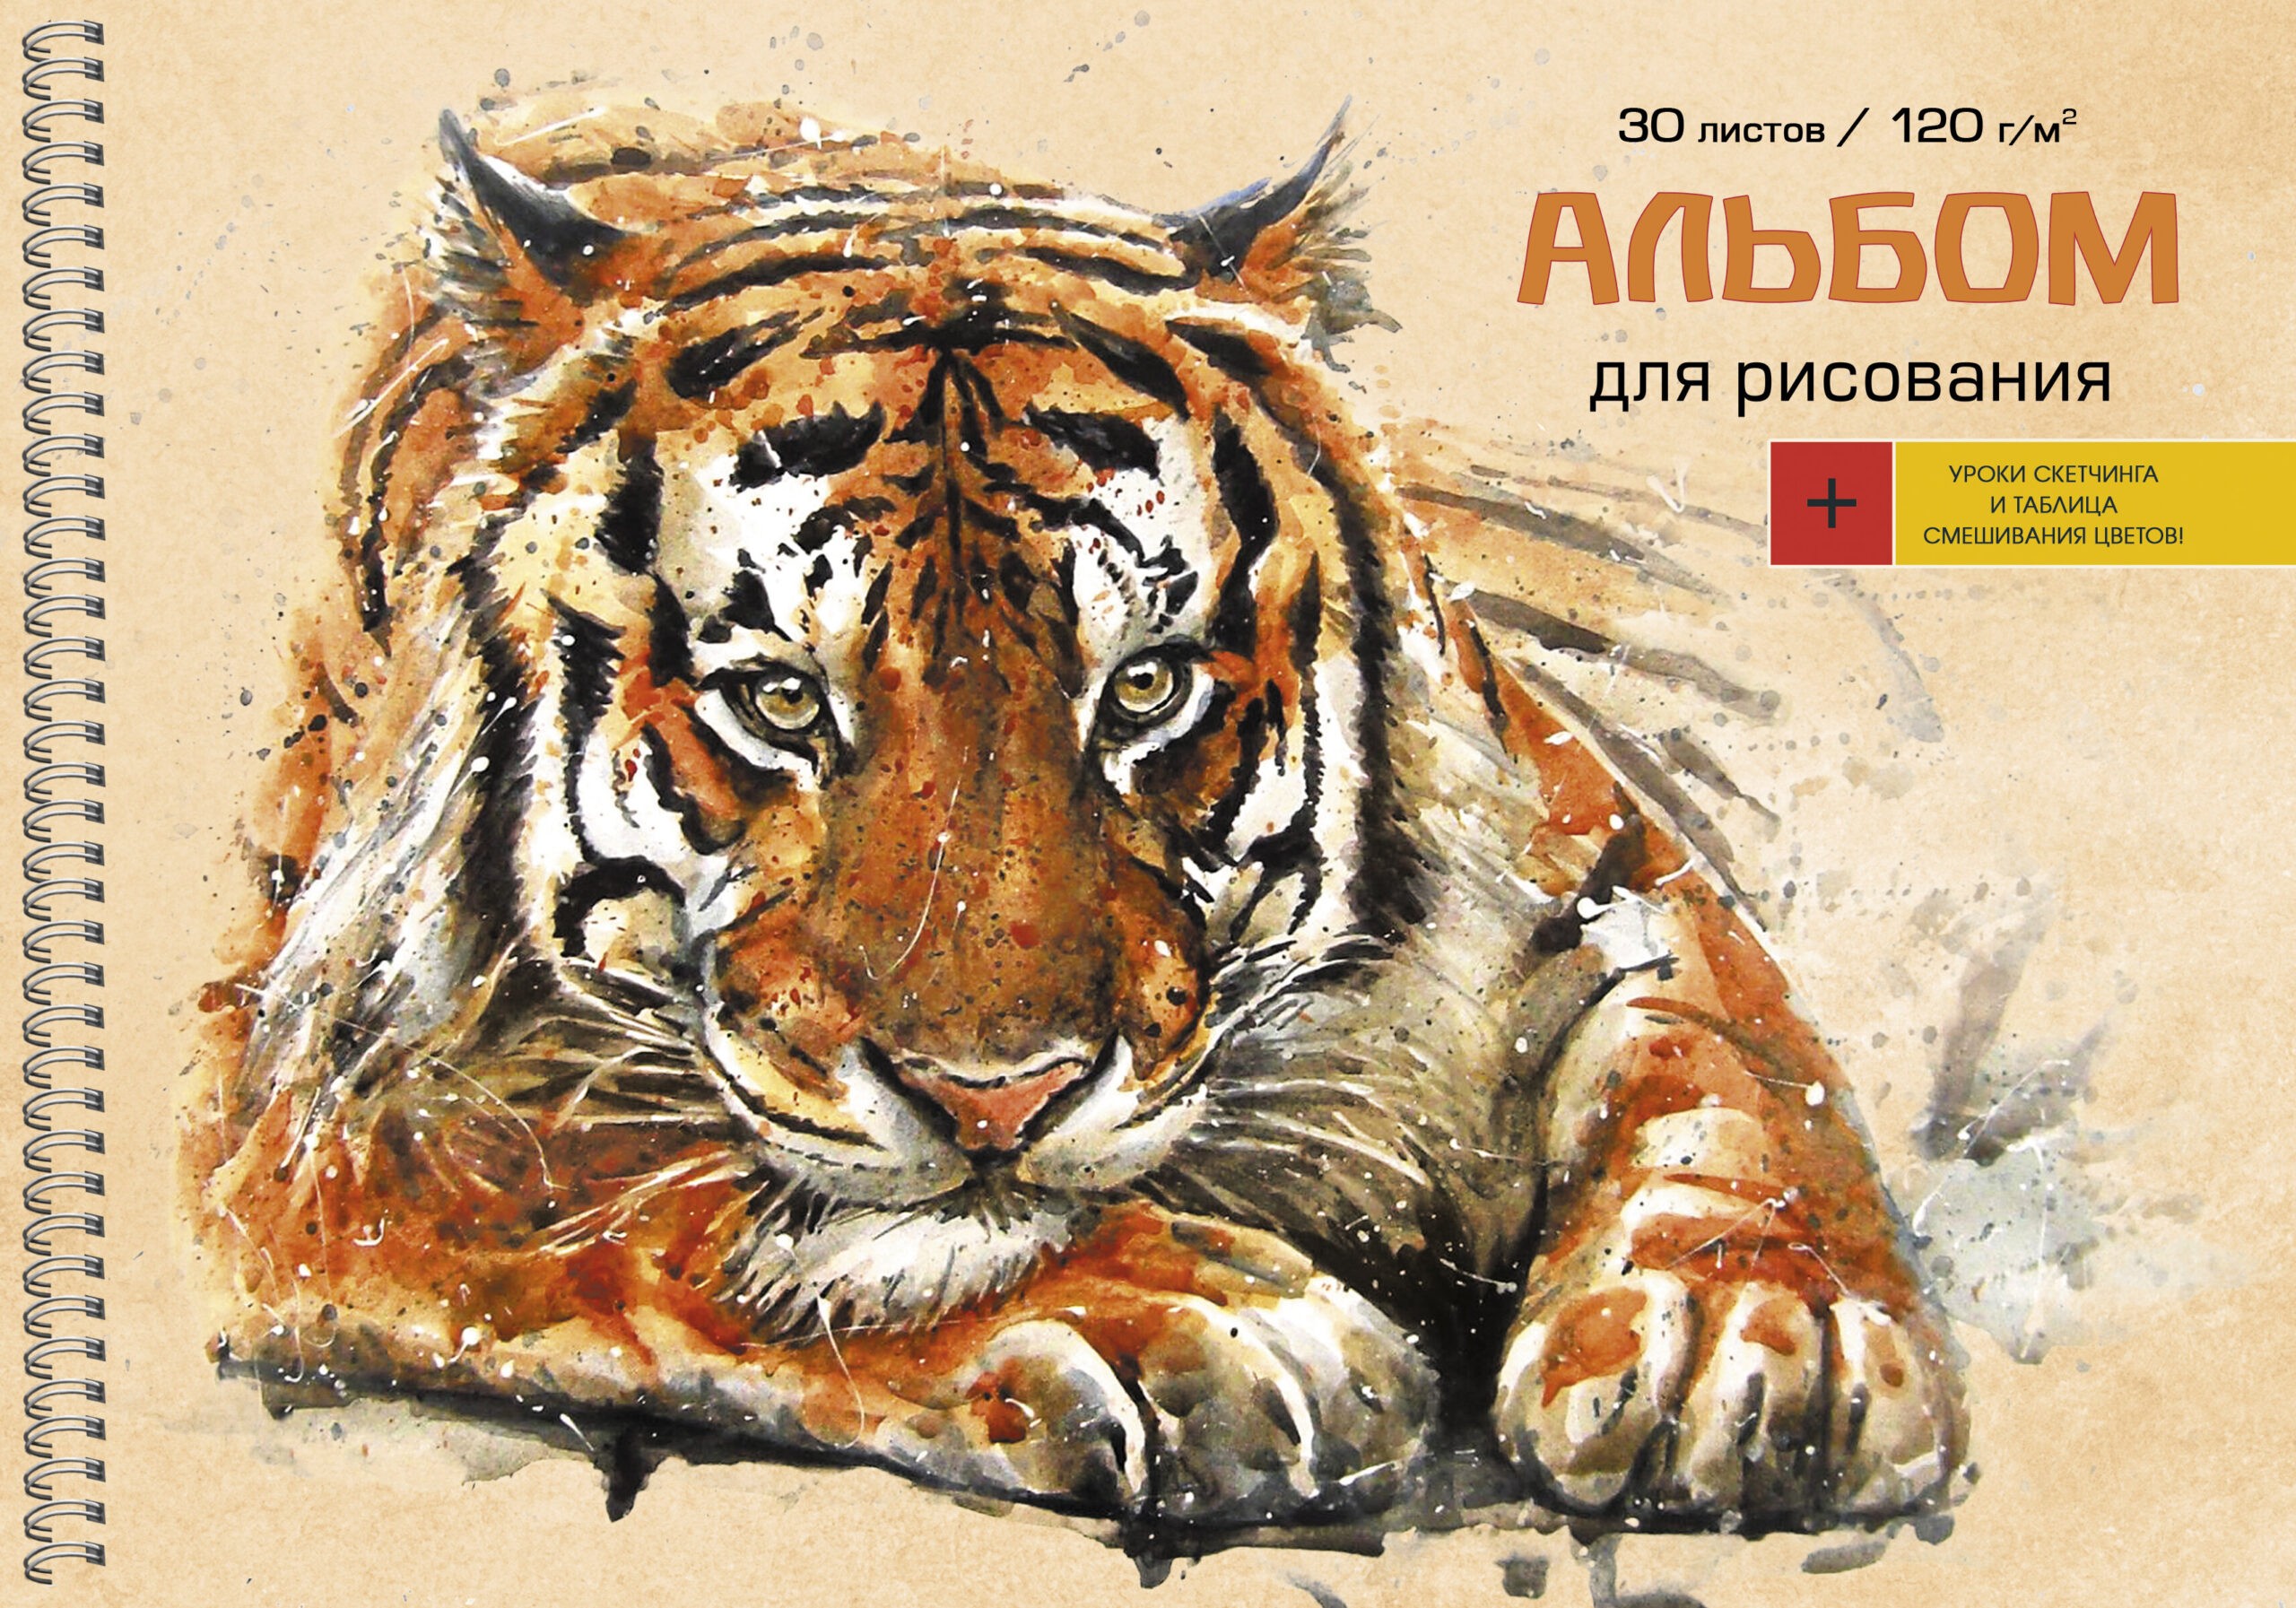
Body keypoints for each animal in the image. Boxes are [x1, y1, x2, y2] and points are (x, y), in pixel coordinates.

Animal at [186, 93, 1964, 1547]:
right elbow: (680, 1201)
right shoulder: (319, 1109)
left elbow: (1730, 1061)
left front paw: (1752, 1333)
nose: (1002, 1099)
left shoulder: (1583, 851)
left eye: (1147, 688)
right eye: (780, 703)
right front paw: (1190, 1321)